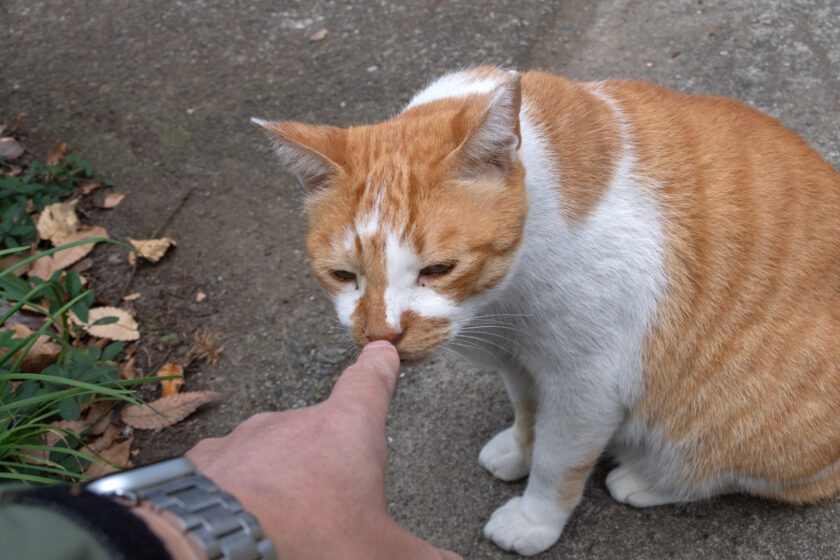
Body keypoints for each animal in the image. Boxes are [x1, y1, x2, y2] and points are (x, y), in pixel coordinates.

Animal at [253, 65, 840, 556]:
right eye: (343, 276)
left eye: (439, 269)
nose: (383, 333)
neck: (502, 303)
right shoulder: (522, 364)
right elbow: (527, 414)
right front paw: (518, 451)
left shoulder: (586, 384)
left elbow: (558, 462)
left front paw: (533, 519)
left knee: (748, 473)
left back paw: (647, 479)